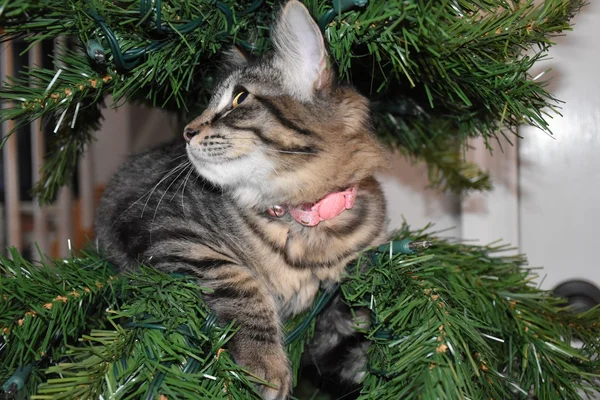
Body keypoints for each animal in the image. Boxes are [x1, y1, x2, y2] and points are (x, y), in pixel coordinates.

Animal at [96, 1, 390, 398]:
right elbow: (237, 279)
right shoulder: (162, 221)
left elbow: (350, 329)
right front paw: (264, 365)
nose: (187, 131)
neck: (302, 218)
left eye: (239, 99)